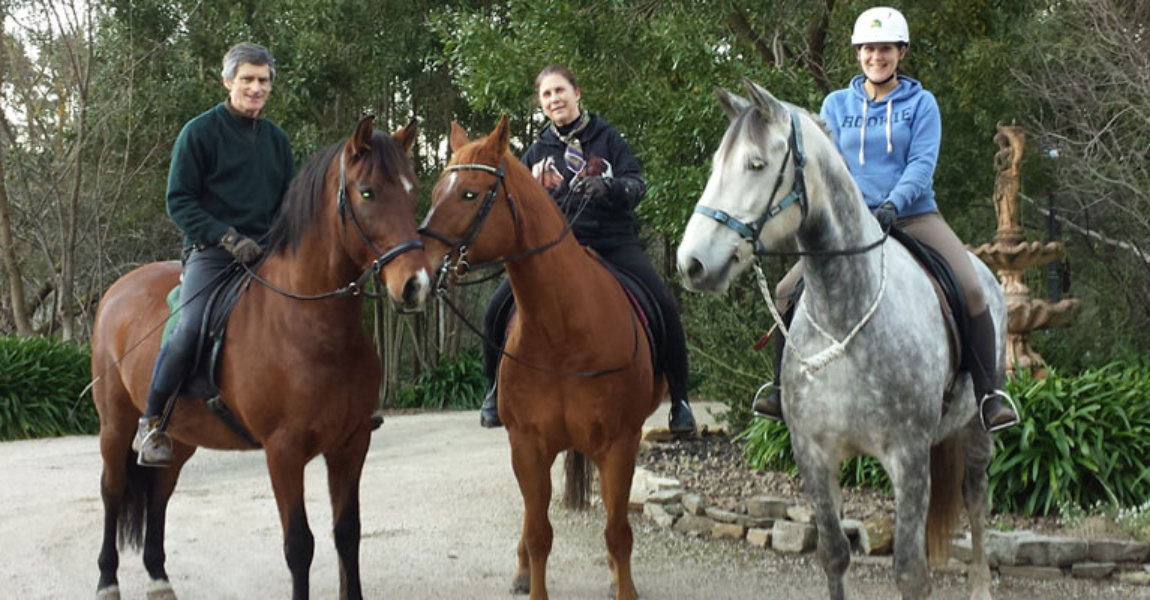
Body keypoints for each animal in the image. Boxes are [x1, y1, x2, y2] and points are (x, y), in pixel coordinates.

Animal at [89, 116, 431, 600]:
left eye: (412, 190)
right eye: (367, 193)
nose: (416, 285)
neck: (312, 325)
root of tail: (117, 290)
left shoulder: (350, 444)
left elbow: (347, 534)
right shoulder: (283, 451)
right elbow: (299, 545)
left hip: (181, 437)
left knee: (159, 494)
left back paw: (157, 577)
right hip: (116, 426)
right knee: (113, 492)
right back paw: (107, 580)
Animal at [418, 117, 666, 600]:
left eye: (470, 194)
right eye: (438, 190)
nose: (415, 272)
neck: (563, 333)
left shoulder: (621, 444)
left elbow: (617, 531)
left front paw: (622, 584)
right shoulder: (527, 445)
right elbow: (538, 533)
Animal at [676, 80, 997, 600]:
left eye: (756, 164)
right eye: (715, 165)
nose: (692, 264)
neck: (846, 318)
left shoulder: (908, 459)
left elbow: (911, 573)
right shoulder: (814, 454)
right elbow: (833, 554)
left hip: (977, 431)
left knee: (976, 501)